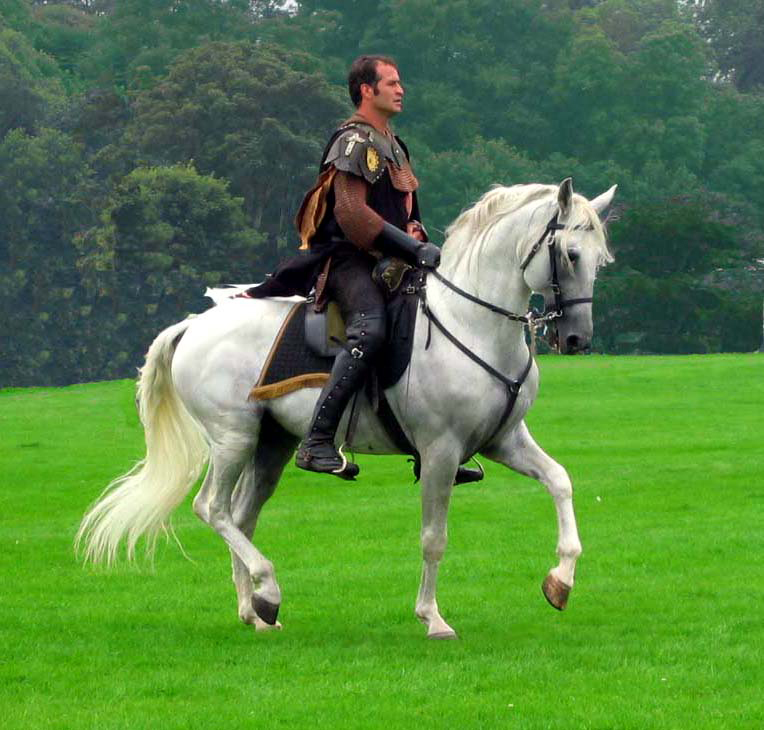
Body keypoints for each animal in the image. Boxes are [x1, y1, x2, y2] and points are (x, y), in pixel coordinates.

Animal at [77, 178, 616, 639]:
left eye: (600, 260)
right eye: (570, 254)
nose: (577, 339)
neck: (471, 322)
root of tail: (194, 324)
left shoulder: (505, 440)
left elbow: (560, 481)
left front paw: (560, 581)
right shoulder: (440, 452)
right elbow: (433, 537)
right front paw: (433, 618)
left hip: (272, 443)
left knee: (241, 515)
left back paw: (255, 610)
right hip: (233, 438)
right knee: (213, 508)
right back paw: (267, 588)